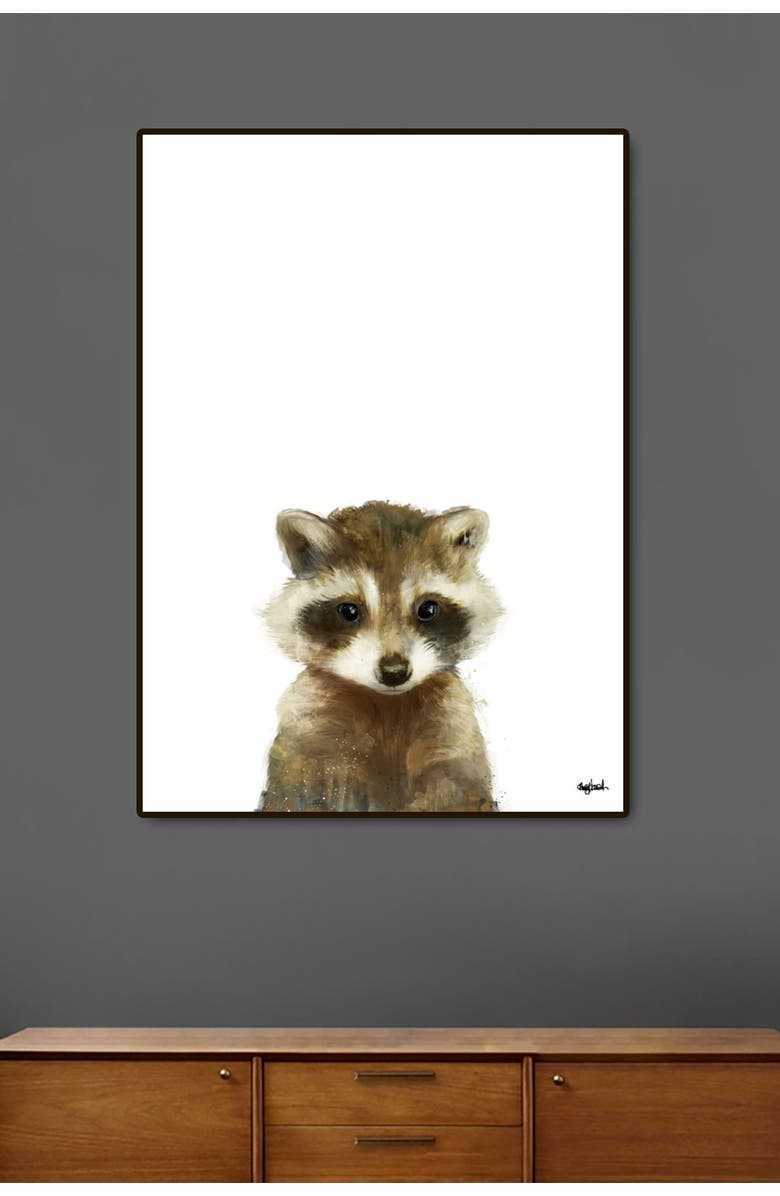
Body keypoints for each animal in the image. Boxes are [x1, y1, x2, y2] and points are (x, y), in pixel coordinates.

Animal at [260, 501, 502, 813]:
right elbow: (303, 793)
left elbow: (458, 792)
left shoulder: (453, 729)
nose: (394, 671)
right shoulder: (309, 730)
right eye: (349, 611)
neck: (388, 703)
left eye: (427, 609)